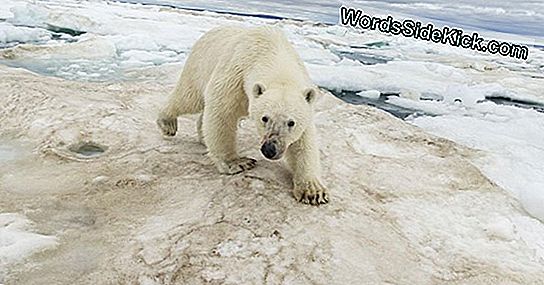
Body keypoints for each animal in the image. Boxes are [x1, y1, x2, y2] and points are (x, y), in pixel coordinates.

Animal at [155, 25, 330, 204]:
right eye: (264, 118)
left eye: (291, 122)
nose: (270, 149)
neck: (273, 53)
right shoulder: (236, 75)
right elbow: (222, 113)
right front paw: (238, 163)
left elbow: (304, 141)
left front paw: (313, 191)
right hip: (199, 65)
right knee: (188, 98)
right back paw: (167, 123)